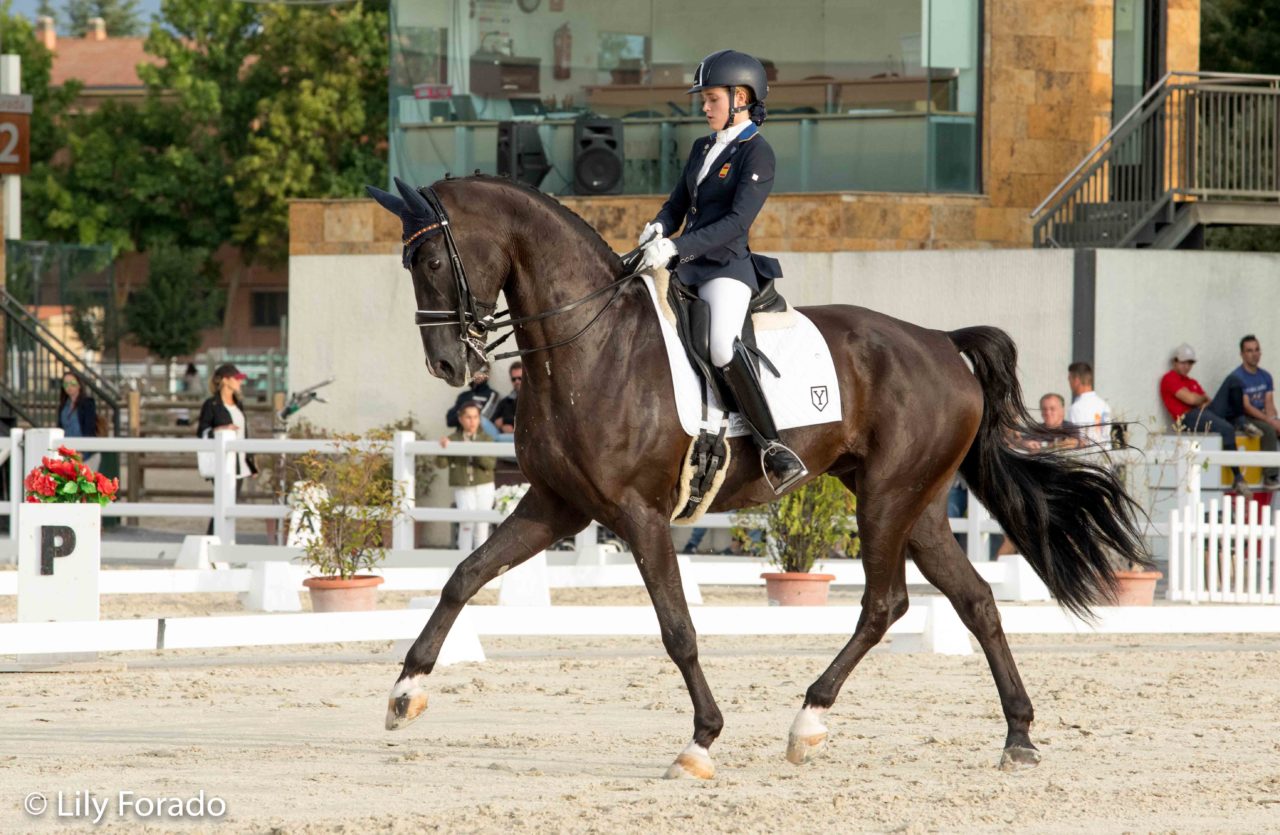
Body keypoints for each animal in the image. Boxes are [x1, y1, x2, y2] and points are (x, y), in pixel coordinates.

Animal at [366, 172, 1146, 778]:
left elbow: (677, 628)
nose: (450, 365)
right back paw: (1017, 735)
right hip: (916, 502)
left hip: (888, 498)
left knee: (885, 603)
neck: (589, 345)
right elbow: (465, 575)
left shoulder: (638, 514)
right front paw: (406, 690)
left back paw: (809, 721)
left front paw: (701, 741)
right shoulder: (558, 503)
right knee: (975, 600)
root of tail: (941, 343)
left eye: (431, 259)